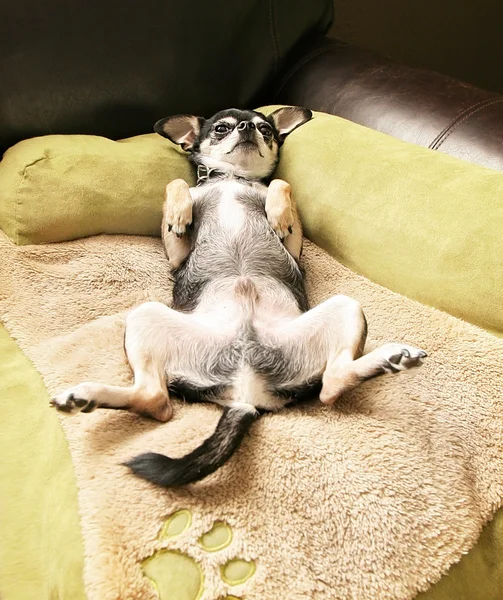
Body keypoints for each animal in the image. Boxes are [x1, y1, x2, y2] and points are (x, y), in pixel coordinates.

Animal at [52, 106, 430, 488]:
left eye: (266, 130)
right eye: (220, 129)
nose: (249, 127)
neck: (232, 179)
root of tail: (245, 393)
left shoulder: (294, 244)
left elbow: (280, 184)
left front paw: (277, 211)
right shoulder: (176, 253)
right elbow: (176, 185)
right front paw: (179, 211)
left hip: (345, 306)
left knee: (329, 385)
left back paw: (391, 358)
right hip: (145, 316)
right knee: (157, 400)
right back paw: (85, 396)